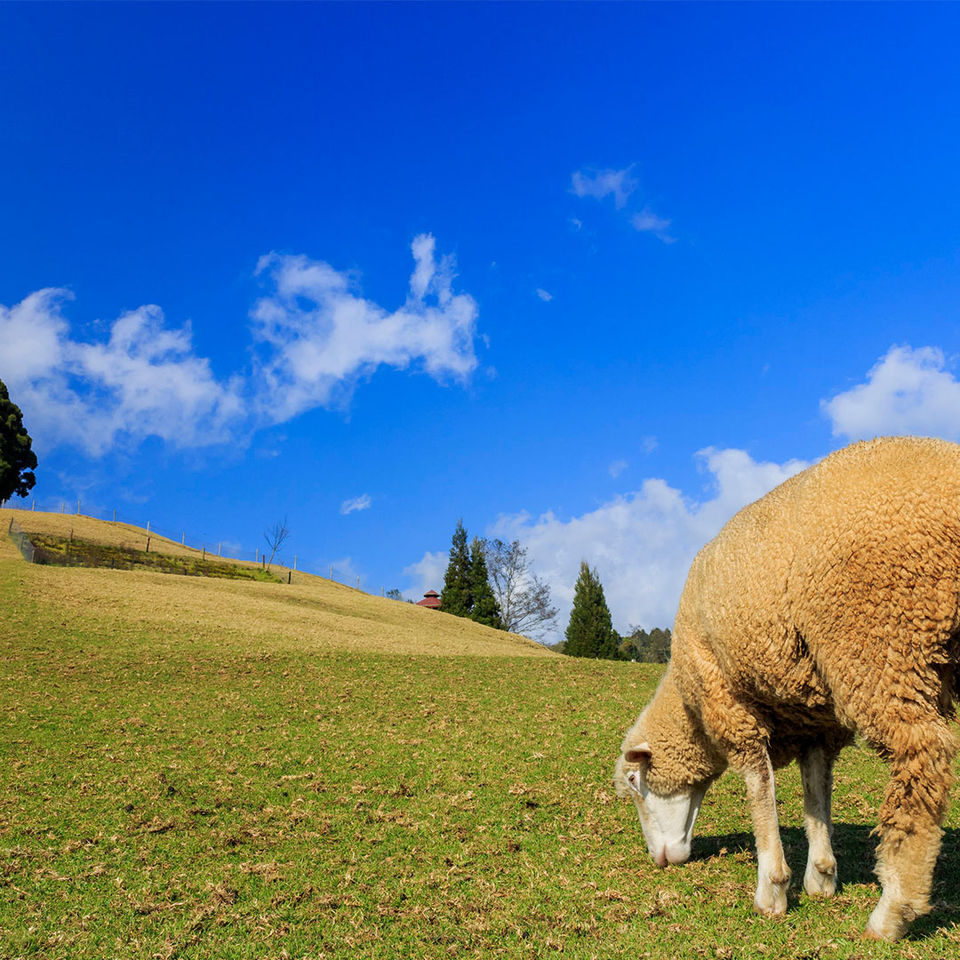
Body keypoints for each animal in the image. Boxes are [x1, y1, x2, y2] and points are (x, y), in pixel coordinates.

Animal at [616, 438, 960, 940]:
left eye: (634, 784)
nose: (659, 861)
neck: (690, 707)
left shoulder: (730, 702)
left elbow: (759, 787)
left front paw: (772, 888)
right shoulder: (814, 718)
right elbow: (816, 792)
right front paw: (821, 876)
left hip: (880, 640)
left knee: (923, 755)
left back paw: (893, 910)